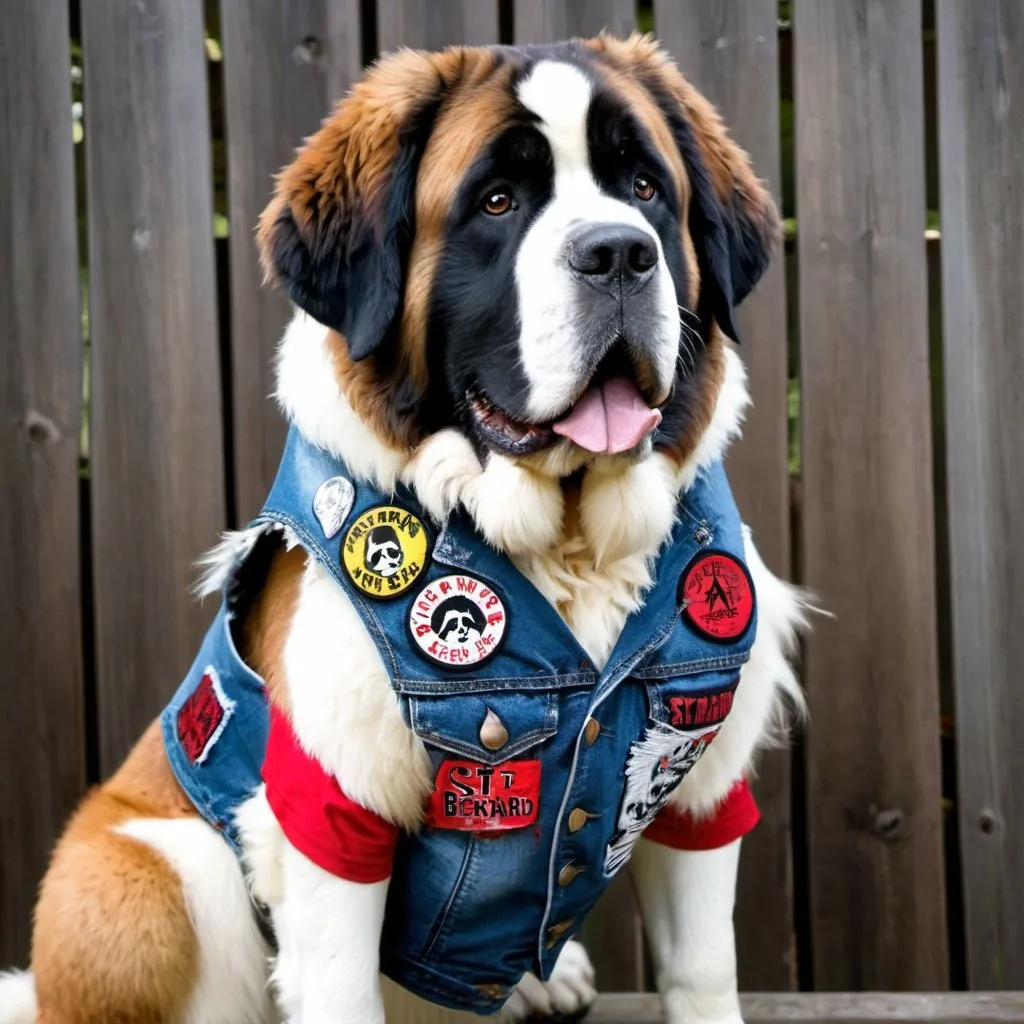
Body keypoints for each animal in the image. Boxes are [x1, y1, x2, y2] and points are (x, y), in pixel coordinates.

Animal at [0, 32, 806, 1024]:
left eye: (646, 187)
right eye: (497, 202)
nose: (619, 251)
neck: (565, 545)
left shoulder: (698, 783)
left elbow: (702, 969)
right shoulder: (331, 810)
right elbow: (342, 985)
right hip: (153, 873)